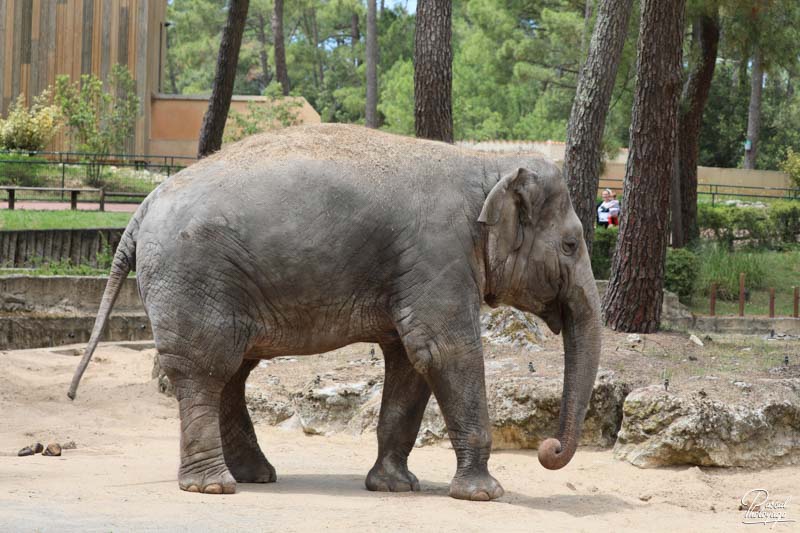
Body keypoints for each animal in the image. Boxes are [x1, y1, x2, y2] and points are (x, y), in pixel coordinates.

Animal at [69, 122, 600, 500]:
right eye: (571, 245)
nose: (549, 449)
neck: (486, 165)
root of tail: (142, 207)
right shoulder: (438, 254)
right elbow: (445, 351)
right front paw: (484, 494)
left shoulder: (417, 271)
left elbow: (409, 362)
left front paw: (395, 486)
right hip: (193, 277)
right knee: (206, 369)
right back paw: (214, 486)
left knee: (233, 371)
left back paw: (256, 475)